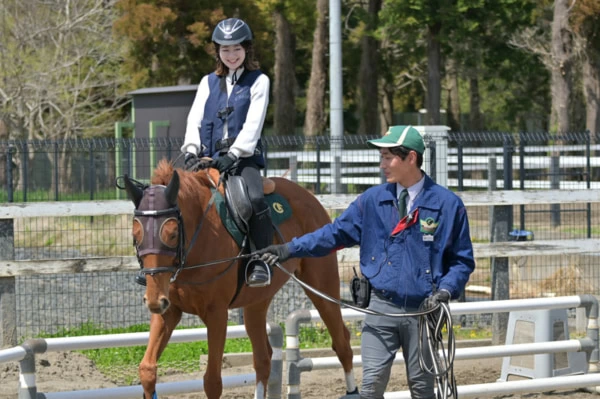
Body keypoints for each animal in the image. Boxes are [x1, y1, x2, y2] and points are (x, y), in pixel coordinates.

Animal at [122, 159, 356, 399]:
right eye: (135, 235)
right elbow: (147, 370)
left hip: (322, 287)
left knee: (342, 344)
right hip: (256, 303)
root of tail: (308, 195)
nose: (152, 300)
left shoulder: (217, 314)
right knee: (263, 359)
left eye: (172, 234)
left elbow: (212, 381)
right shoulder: (168, 310)